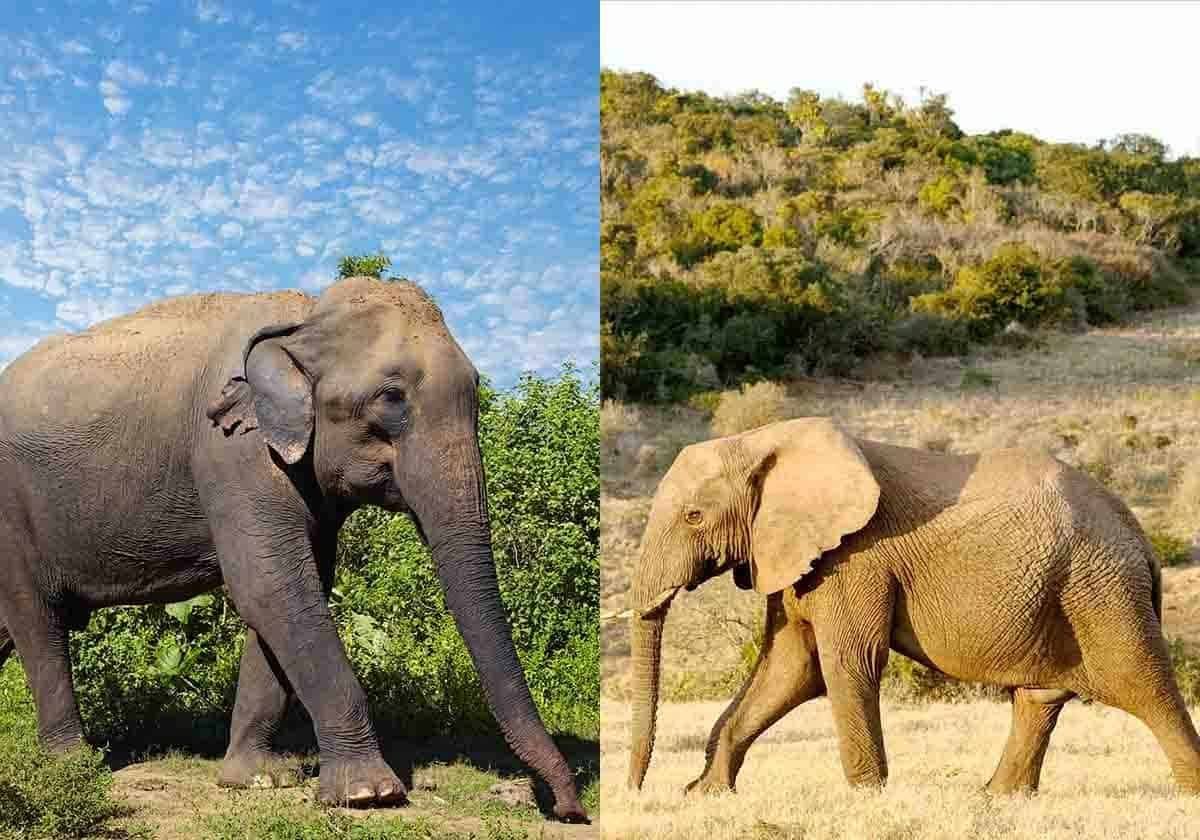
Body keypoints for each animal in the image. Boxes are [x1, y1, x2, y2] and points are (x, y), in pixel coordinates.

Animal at [0, 276, 585, 821]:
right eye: (391, 397)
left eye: (477, 388)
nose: (566, 808)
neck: (304, 317)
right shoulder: (231, 451)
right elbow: (269, 586)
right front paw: (369, 794)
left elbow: (292, 592)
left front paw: (259, 779)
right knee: (38, 622)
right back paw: (74, 767)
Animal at [627, 417, 1200, 797]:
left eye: (694, 516)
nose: (636, 792)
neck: (763, 440)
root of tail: (1141, 539)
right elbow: (790, 667)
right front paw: (704, 795)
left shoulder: (855, 557)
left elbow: (844, 662)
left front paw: (865, 798)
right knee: (1041, 697)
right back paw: (996, 800)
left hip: (1103, 590)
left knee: (1145, 685)